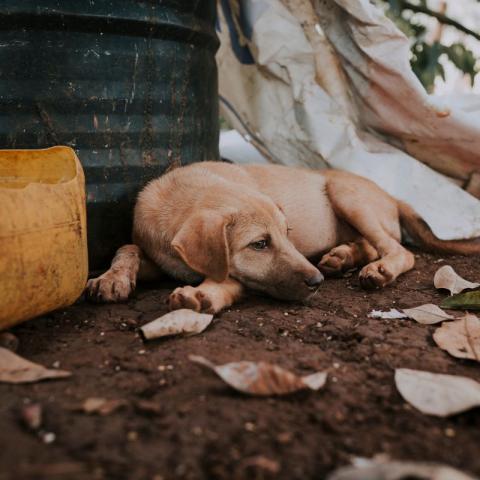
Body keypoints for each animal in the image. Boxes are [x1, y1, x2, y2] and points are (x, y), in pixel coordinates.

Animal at [86, 161, 480, 312]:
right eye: (260, 244)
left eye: (287, 234)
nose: (317, 282)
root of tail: (392, 196)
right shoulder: (160, 256)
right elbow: (127, 246)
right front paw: (111, 278)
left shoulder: (235, 274)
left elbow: (226, 279)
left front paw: (202, 294)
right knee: (374, 244)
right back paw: (343, 257)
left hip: (346, 194)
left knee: (399, 250)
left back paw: (377, 269)